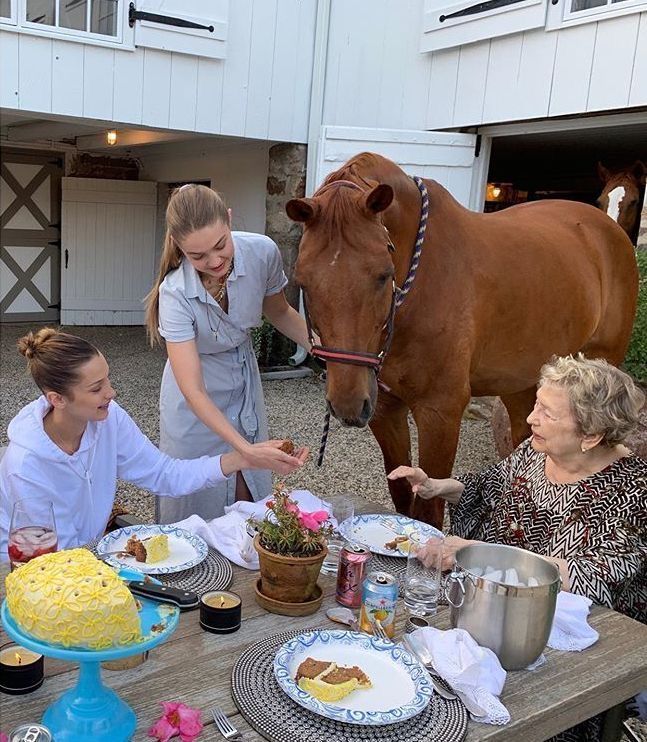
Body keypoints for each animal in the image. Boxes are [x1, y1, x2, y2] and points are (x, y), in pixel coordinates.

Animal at [288, 154, 636, 532]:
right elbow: (401, 499)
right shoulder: (385, 411)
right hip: (521, 384)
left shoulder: (440, 414)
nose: (348, 405)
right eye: (303, 280)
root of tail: (607, 228)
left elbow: (428, 511)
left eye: (383, 275)